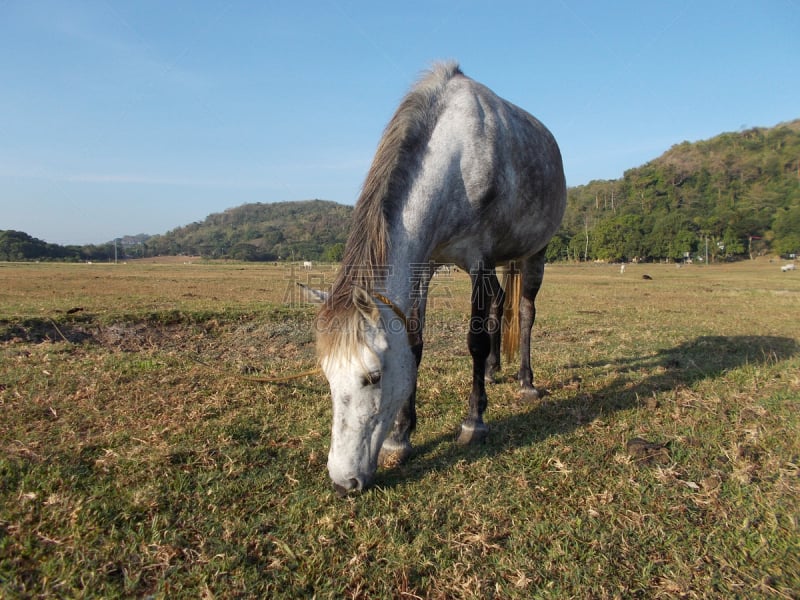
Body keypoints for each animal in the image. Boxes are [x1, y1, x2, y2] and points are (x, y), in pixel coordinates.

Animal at [316, 61, 564, 494]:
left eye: (373, 377)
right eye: (329, 378)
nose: (344, 482)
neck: (458, 158)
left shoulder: (478, 257)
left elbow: (475, 341)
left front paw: (473, 422)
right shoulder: (427, 265)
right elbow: (414, 343)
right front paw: (401, 437)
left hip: (535, 252)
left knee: (526, 313)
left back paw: (525, 382)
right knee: (500, 303)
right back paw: (494, 371)